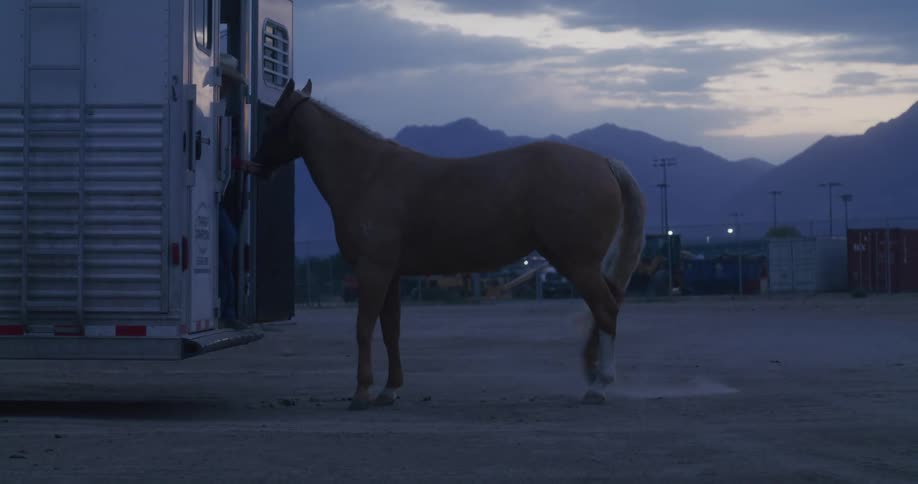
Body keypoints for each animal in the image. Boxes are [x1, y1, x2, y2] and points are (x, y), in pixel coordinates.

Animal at [251, 79, 647, 410]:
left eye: (271, 117)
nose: (257, 165)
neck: (369, 174)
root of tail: (604, 163)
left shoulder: (372, 271)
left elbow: (364, 328)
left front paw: (362, 392)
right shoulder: (390, 275)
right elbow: (390, 331)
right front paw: (389, 390)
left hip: (576, 263)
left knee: (606, 309)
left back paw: (599, 386)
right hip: (583, 264)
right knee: (608, 304)